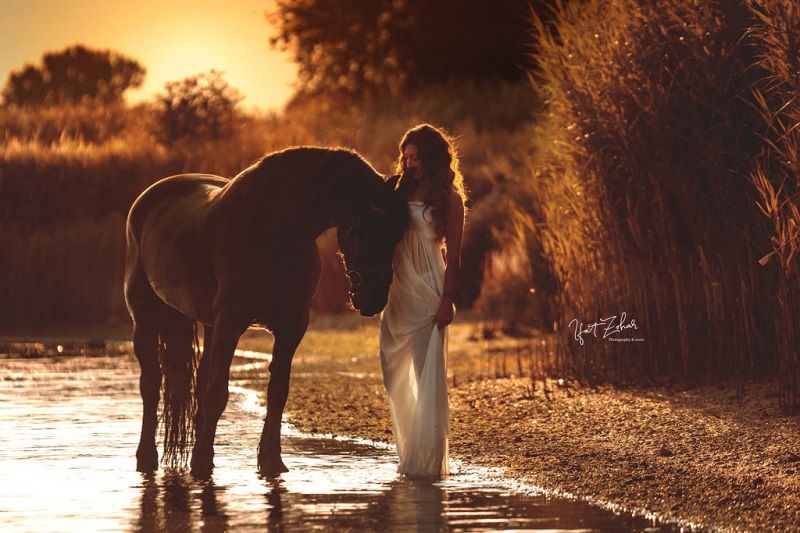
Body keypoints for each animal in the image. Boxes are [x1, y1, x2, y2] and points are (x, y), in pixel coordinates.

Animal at [124, 146, 408, 478]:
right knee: (151, 385)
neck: (274, 227)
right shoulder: (231, 322)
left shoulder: (291, 325)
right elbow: (217, 393)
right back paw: (146, 456)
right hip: (145, 319)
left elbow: (277, 392)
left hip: (209, 325)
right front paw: (202, 462)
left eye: (398, 234)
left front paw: (271, 460)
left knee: (197, 382)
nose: (373, 298)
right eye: (365, 231)